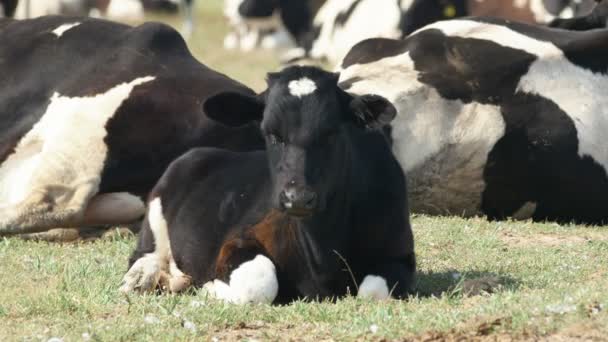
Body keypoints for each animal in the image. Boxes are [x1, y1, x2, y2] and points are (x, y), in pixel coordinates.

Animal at [121, 65, 416, 304]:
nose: (297, 197)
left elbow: (373, 291)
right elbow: (260, 282)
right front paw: (211, 288)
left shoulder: (400, 253)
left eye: (331, 132)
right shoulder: (239, 239)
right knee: (144, 254)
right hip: (156, 208)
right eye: (270, 133)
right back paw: (141, 278)